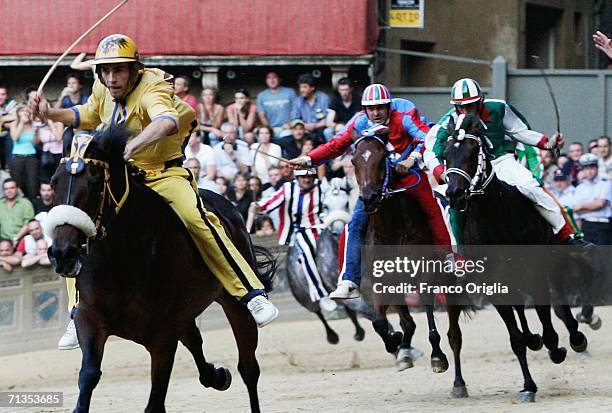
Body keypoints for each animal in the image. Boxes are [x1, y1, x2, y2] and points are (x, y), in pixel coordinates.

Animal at [43, 126, 272, 412]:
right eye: (54, 182)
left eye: (95, 183)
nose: (63, 253)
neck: (123, 259)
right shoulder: (90, 319)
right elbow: (88, 376)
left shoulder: (163, 335)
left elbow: (155, 400)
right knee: (195, 338)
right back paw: (215, 375)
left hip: (234, 304)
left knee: (249, 367)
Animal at [350, 128, 468, 396]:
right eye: (354, 161)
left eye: (382, 159)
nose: (369, 198)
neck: (392, 229)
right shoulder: (381, 281)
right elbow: (382, 322)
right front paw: (398, 345)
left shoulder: (425, 277)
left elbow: (429, 319)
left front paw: (437, 357)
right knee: (407, 321)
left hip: (450, 288)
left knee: (454, 335)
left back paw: (459, 383)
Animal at [444, 114, 588, 400]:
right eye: (445, 154)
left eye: (471, 151)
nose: (454, 194)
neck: (496, 216)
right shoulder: (493, 282)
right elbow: (515, 337)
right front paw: (528, 385)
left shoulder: (535, 269)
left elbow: (545, 313)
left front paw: (555, 347)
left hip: (551, 260)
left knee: (559, 302)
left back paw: (573, 338)